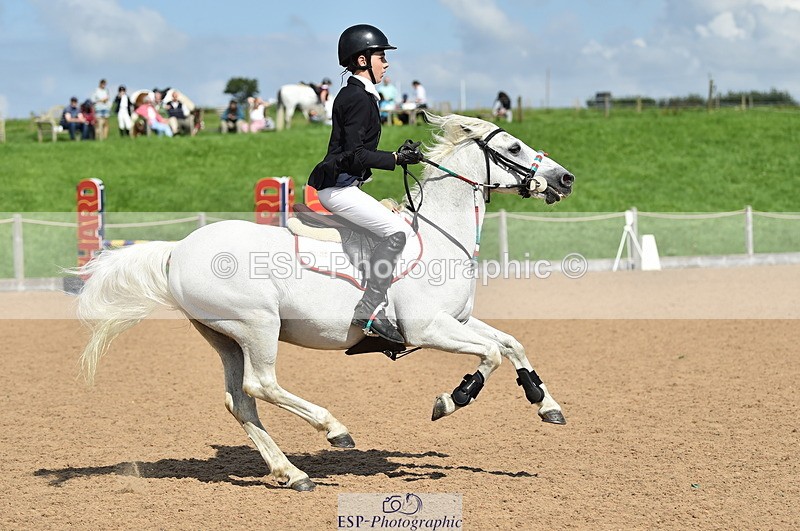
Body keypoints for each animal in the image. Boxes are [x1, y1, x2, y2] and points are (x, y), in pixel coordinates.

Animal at [75, 112, 575, 491]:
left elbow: (510, 344)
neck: (436, 236)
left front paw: (544, 403)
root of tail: (178, 248)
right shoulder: (428, 327)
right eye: (514, 148)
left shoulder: (457, 320)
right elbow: (490, 354)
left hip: (225, 337)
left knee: (240, 401)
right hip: (258, 325)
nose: (565, 178)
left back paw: (292, 473)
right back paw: (334, 430)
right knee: (262, 385)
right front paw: (453, 399)